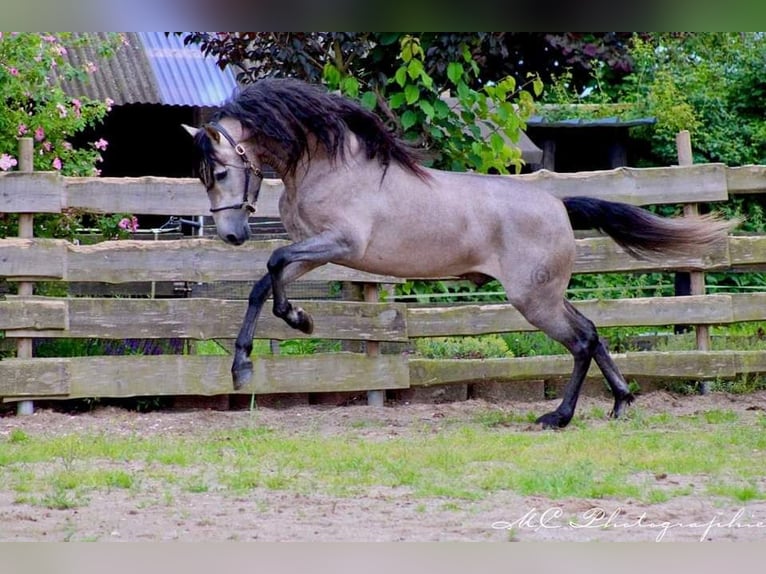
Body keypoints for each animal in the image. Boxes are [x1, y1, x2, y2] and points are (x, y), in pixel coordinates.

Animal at [183, 77, 736, 428]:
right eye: (205, 176)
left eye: (223, 171)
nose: (232, 235)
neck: (331, 165)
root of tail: (558, 203)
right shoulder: (321, 252)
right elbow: (264, 282)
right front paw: (246, 363)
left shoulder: (341, 242)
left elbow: (272, 263)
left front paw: (299, 322)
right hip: (547, 294)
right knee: (593, 331)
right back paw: (621, 403)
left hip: (533, 300)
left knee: (580, 342)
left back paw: (558, 418)